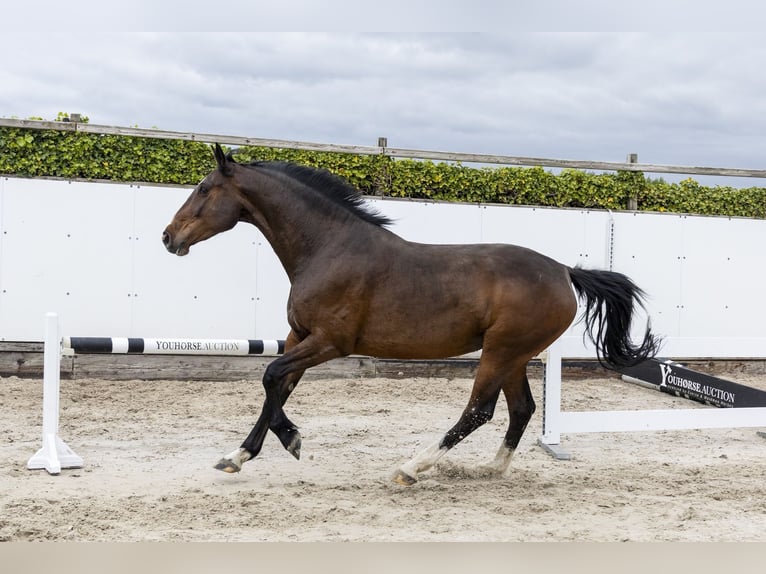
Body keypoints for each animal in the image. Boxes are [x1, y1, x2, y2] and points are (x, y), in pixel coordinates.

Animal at [162, 144, 660, 485]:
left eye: (204, 189)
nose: (168, 237)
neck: (328, 248)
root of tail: (563, 270)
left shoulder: (329, 343)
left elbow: (270, 377)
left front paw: (291, 440)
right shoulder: (298, 336)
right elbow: (277, 387)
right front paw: (238, 456)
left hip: (502, 351)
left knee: (479, 410)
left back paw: (412, 467)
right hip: (514, 355)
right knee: (520, 410)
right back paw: (489, 469)